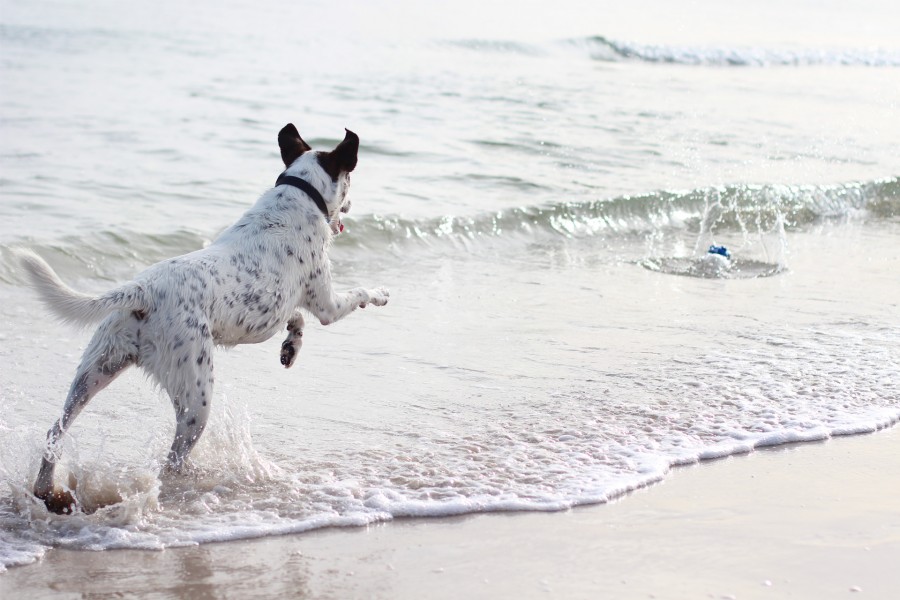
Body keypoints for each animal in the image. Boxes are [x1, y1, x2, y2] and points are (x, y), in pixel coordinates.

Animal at [17, 124, 388, 512]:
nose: (351, 206)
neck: (300, 193)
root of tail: (144, 289)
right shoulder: (327, 304)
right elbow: (357, 294)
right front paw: (379, 293)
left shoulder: (289, 305)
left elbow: (296, 319)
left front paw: (291, 347)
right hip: (196, 394)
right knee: (172, 461)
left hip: (95, 369)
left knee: (55, 431)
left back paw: (47, 490)